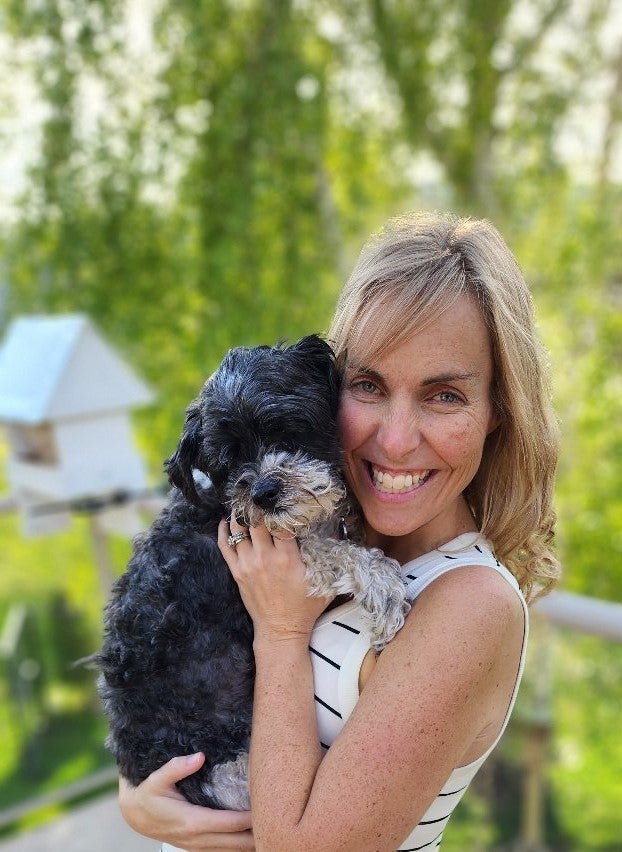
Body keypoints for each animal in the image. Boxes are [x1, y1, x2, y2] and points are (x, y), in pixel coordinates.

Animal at [95, 334, 412, 812]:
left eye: (284, 427)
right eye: (226, 461)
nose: (263, 492)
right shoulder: (287, 552)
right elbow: (336, 551)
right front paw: (383, 584)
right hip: (233, 769)